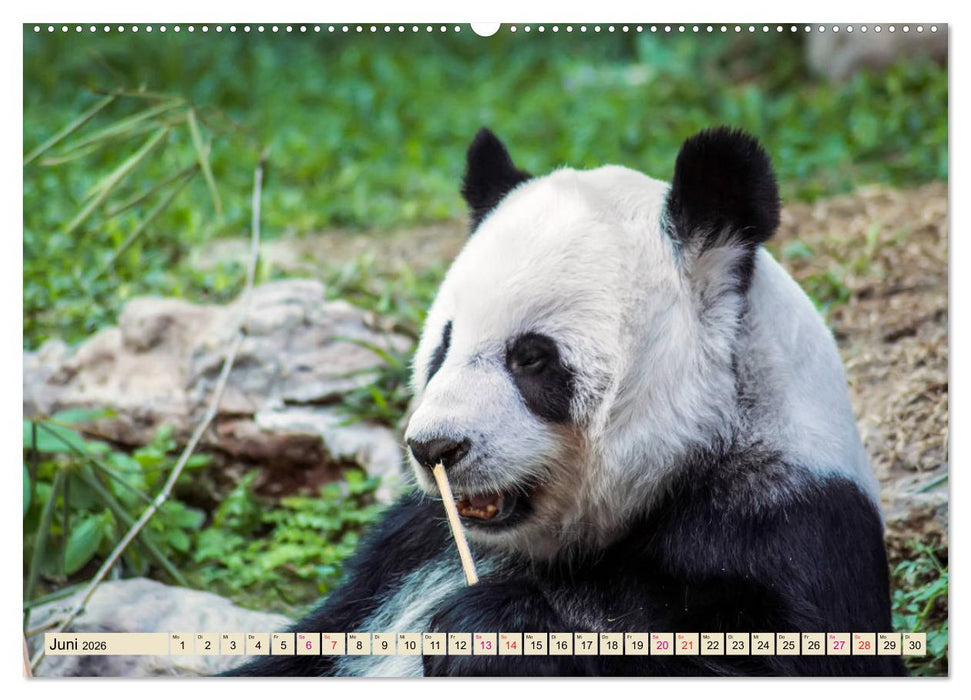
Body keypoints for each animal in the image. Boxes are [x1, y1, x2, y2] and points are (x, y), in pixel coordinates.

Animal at [228, 127, 904, 676]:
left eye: (531, 357)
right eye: (443, 344)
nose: (434, 448)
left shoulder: (789, 524)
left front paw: (488, 630)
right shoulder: (409, 551)